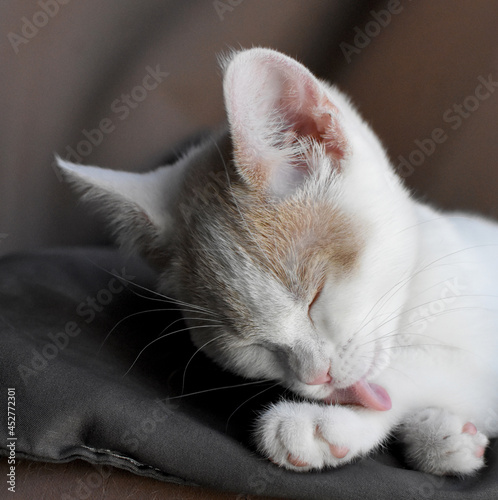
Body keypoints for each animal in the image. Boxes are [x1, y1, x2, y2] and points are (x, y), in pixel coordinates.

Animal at [55, 47, 498, 476]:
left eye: (316, 296)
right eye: (248, 345)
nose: (316, 376)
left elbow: (427, 368)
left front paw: (320, 423)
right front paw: (440, 437)